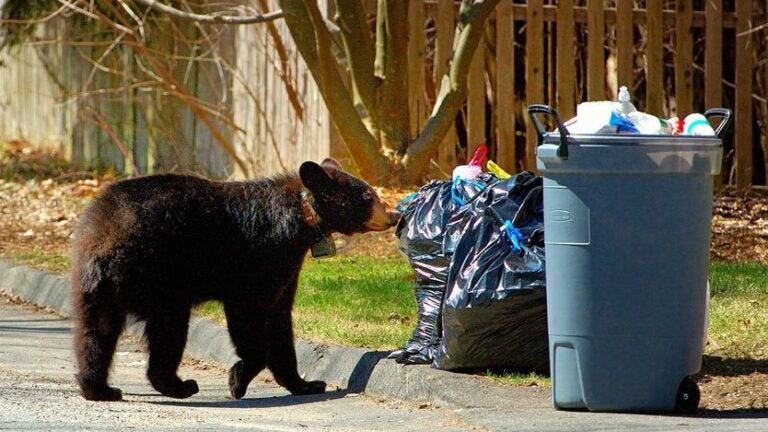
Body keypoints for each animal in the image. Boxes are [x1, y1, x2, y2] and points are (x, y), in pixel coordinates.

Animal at [70, 159, 402, 402]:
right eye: (368, 195)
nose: (394, 216)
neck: (301, 215)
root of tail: (105, 238)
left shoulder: (287, 269)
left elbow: (281, 321)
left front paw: (306, 384)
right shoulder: (262, 258)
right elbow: (252, 316)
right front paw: (238, 379)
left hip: (95, 288)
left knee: (95, 333)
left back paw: (100, 389)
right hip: (159, 275)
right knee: (168, 327)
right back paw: (180, 385)